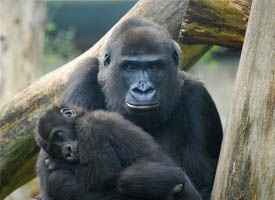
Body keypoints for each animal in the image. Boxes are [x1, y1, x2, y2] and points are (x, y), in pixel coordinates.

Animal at [35, 104, 202, 200]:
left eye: (59, 136)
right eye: (55, 147)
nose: (66, 152)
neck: (80, 120)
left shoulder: (89, 128)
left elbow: (104, 173)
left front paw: (60, 163)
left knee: (125, 180)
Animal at [61, 17, 223, 200]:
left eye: (154, 67)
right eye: (130, 67)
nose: (143, 90)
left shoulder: (198, 98)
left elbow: (206, 187)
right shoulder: (82, 78)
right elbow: (61, 177)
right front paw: (147, 182)